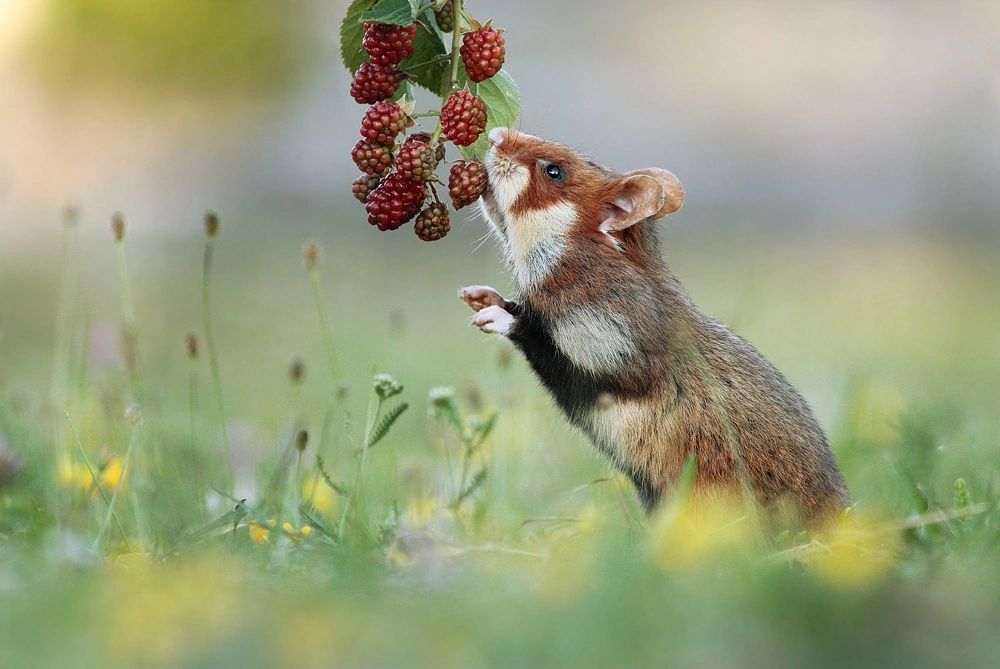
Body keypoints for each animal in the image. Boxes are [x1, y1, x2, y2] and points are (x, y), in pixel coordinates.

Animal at [458, 126, 848, 520]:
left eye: (554, 171)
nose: (496, 133)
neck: (583, 257)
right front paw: (479, 295)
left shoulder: (608, 348)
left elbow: (536, 337)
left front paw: (493, 315)